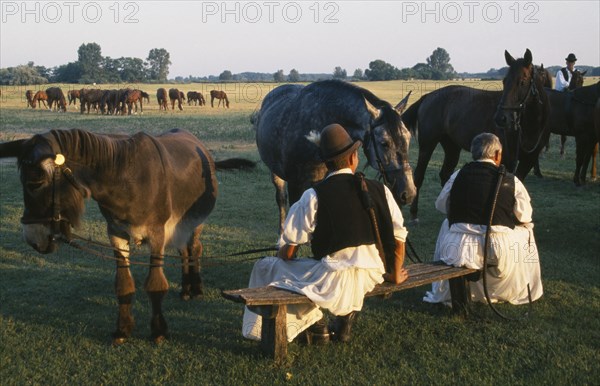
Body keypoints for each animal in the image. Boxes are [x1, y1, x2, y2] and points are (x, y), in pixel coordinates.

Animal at [0, 129, 255, 344]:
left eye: (35, 184)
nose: (32, 239)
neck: (125, 178)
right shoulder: (116, 232)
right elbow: (123, 284)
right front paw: (122, 330)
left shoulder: (157, 234)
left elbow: (155, 284)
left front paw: (158, 332)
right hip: (178, 225)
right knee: (183, 250)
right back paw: (185, 289)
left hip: (195, 221)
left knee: (195, 248)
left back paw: (197, 289)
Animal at [404, 49, 548, 222]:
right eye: (504, 81)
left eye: (522, 81)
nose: (501, 118)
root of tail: (428, 97)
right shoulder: (505, 160)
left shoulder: (528, 160)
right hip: (427, 144)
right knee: (419, 175)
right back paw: (414, 213)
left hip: (452, 147)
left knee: (445, 173)